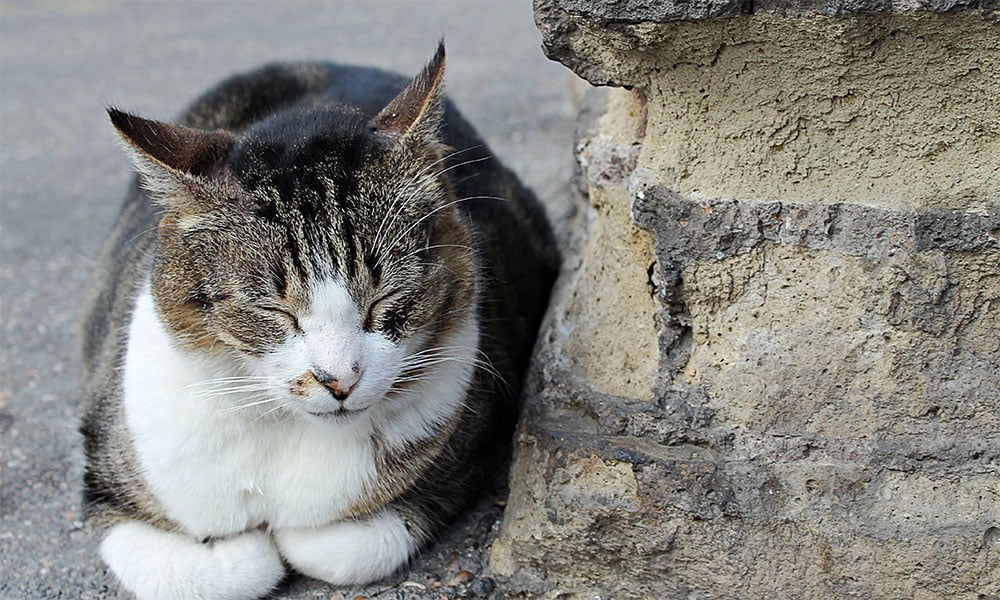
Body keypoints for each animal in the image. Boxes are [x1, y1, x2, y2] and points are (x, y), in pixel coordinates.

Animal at [81, 43, 560, 600]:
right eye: (274, 309)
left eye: (383, 297)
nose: (339, 380)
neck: (285, 431)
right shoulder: (102, 478)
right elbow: (202, 569)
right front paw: (249, 546)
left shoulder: (463, 459)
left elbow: (340, 545)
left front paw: (289, 538)